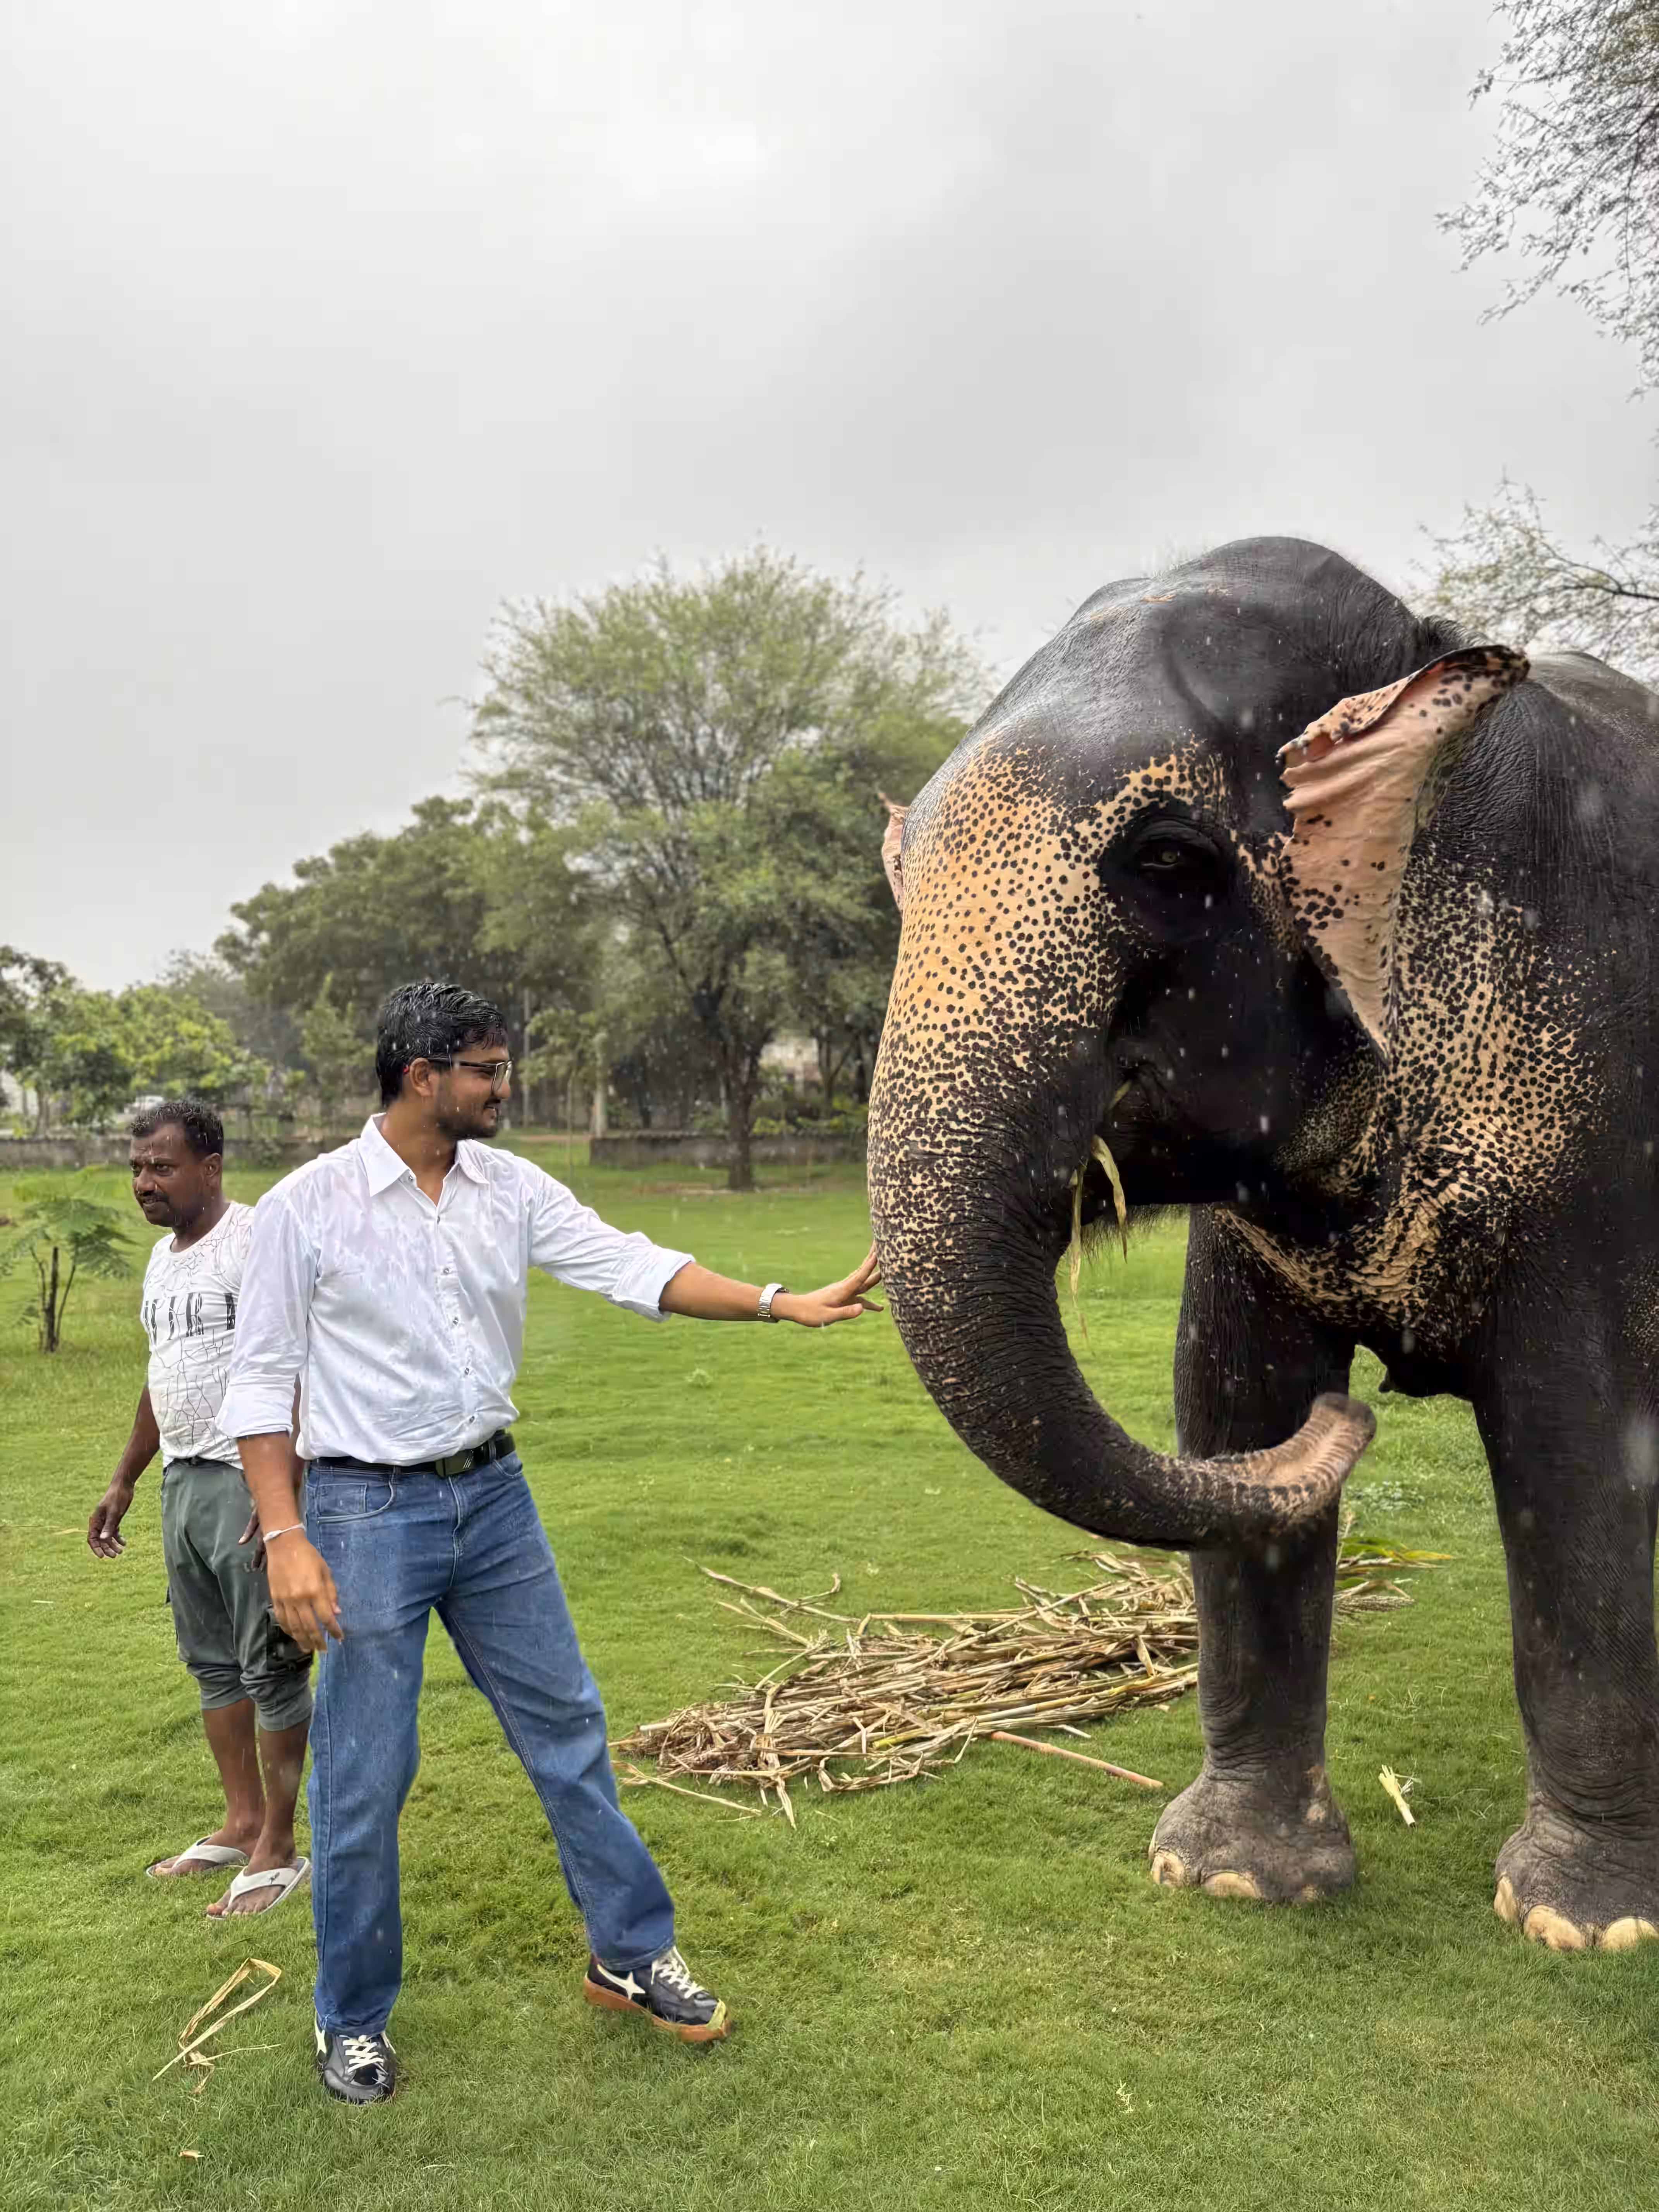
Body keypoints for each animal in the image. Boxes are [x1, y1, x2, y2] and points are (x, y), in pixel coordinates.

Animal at [867, 536, 1659, 1951]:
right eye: (897, 876)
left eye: (1172, 861)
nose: (1363, 1421)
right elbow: (1228, 1402)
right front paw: (1233, 1878)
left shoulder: (1592, 1111)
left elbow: (1574, 1446)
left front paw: (1586, 1925)